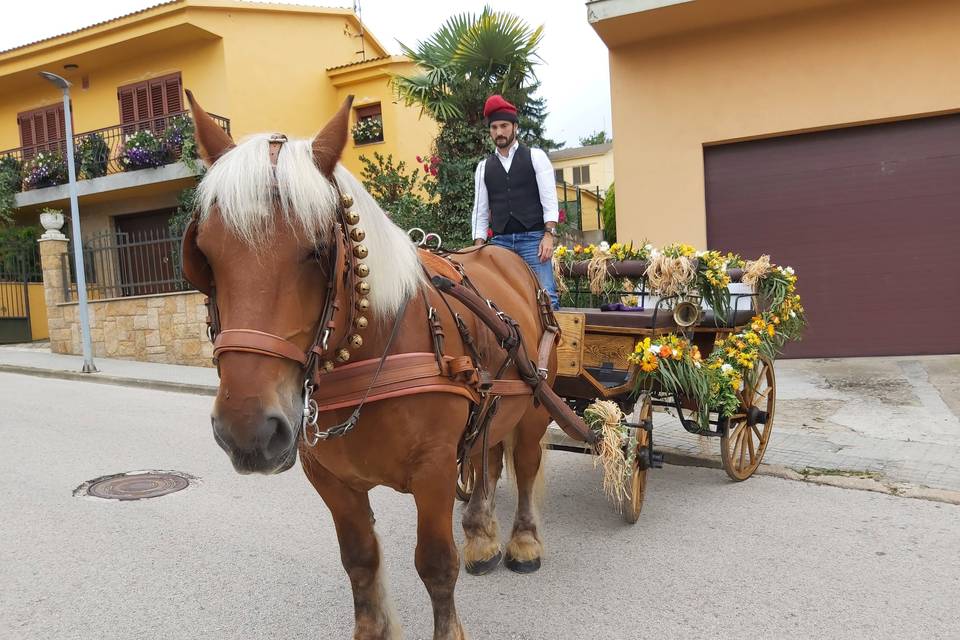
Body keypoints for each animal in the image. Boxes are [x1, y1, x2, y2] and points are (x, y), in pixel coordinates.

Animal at [182, 91, 556, 640]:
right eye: (204, 255)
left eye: (319, 249)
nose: (247, 431)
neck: (369, 352)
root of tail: (505, 256)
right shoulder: (330, 479)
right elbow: (359, 560)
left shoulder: (434, 470)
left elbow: (435, 564)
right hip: (491, 405)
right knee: (486, 456)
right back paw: (481, 536)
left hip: (531, 404)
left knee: (525, 466)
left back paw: (523, 542)